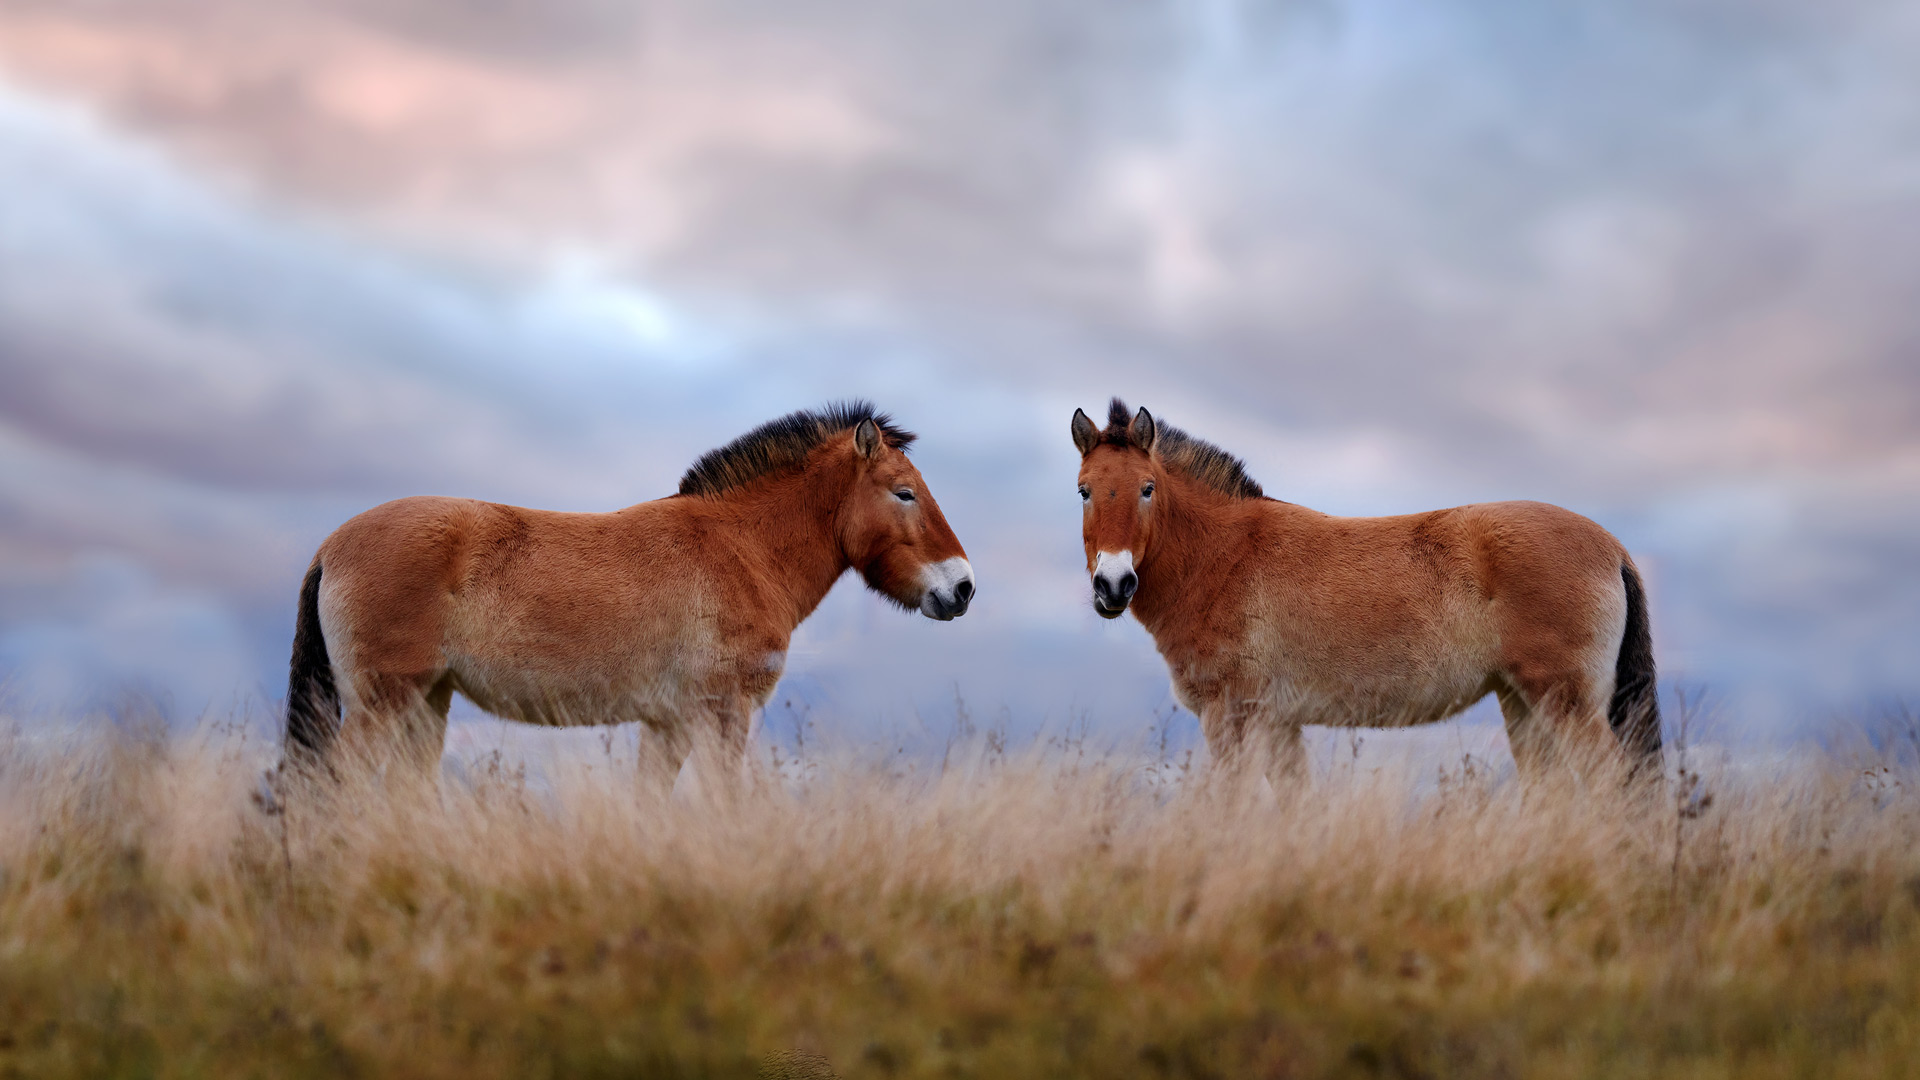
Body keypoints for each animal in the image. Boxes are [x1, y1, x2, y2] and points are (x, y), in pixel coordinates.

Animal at [284, 401, 975, 780]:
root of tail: (331, 546)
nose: (963, 588)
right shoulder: (722, 716)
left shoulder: (667, 726)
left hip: (427, 703)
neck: (740, 548)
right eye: (904, 493)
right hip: (382, 705)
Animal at [1075, 399, 1658, 787]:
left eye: (1147, 489)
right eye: (1083, 490)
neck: (1223, 554)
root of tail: (1613, 548)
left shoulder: (1230, 717)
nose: (1113, 586)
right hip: (1522, 703)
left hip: (1565, 703)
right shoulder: (1279, 723)